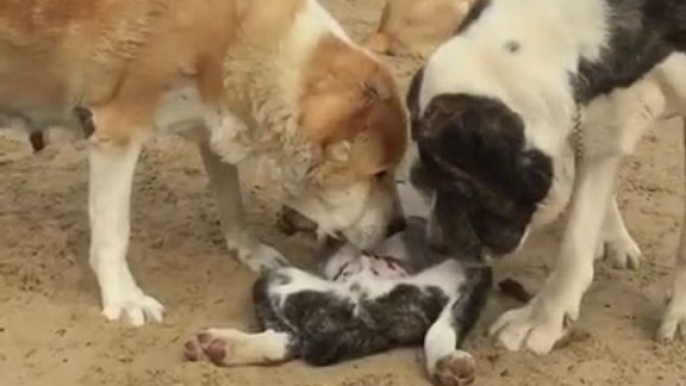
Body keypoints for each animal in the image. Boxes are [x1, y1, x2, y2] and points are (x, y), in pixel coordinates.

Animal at [0, 0, 408, 326]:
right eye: (379, 174)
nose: (399, 226)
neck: (235, 36)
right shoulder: (117, 132)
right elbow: (114, 231)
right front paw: (124, 297)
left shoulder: (214, 124)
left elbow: (233, 203)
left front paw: (250, 250)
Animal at [406, 0, 686, 354]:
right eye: (427, 180)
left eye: (458, 185)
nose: (436, 244)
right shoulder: (600, 113)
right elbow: (575, 241)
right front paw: (543, 317)